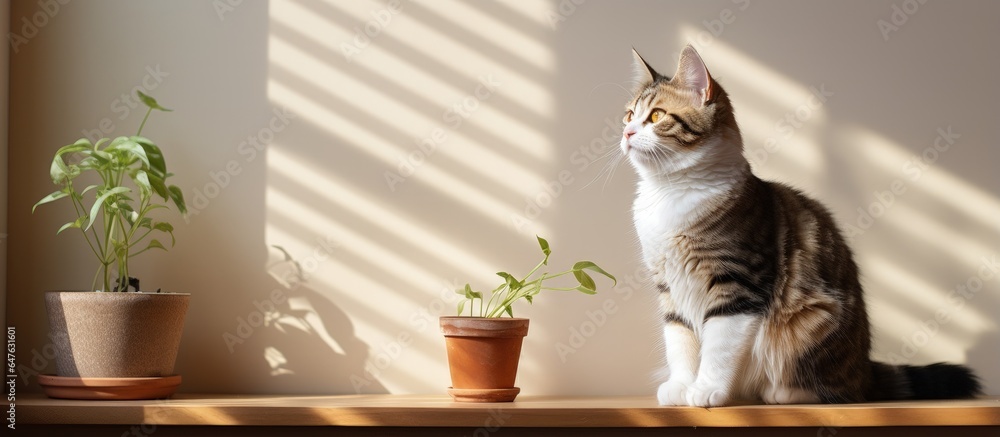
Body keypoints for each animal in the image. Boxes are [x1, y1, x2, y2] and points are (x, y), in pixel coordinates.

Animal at [620, 44, 980, 406]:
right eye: (628, 115)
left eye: (656, 116)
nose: (626, 132)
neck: (669, 193)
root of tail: (865, 369)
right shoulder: (669, 287)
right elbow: (679, 341)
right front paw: (680, 386)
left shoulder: (738, 284)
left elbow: (718, 348)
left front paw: (707, 389)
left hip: (811, 321)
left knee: (833, 391)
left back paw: (781, 392)